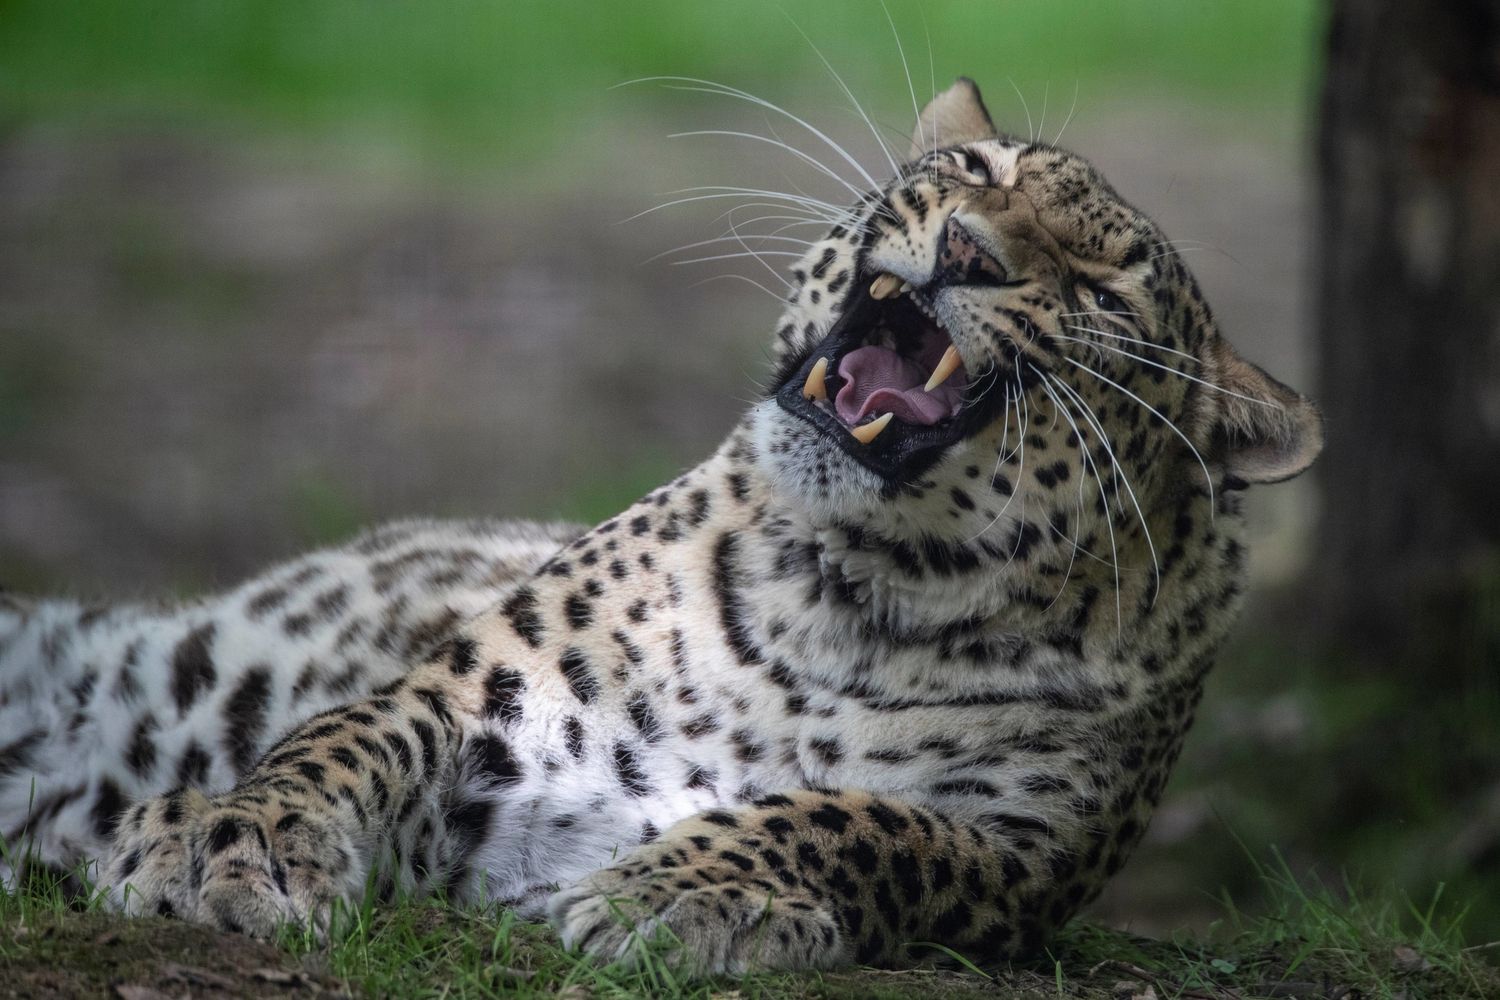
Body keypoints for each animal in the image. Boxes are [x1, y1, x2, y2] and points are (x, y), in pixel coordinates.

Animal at [0, 79, 1321, 974]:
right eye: (978, 170)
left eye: (1105, 293)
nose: (966, 246)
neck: (848, 596)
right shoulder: (481, 688)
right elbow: (337, 737)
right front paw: (232, 839)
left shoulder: (1020, 855)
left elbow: (855, 820)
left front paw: (682, 893)